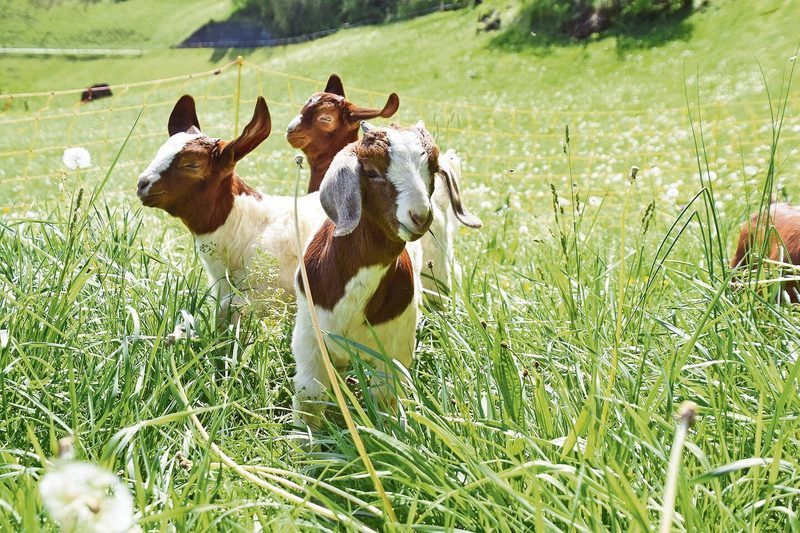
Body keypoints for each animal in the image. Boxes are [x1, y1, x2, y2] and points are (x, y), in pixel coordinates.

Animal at [291, 121, 438, 425]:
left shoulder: (395, 346)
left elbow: (384, 398)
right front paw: (303, 438)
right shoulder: (309, 333)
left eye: (434, 168)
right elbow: (310, 394)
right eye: (371, 172)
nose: (420, 217)